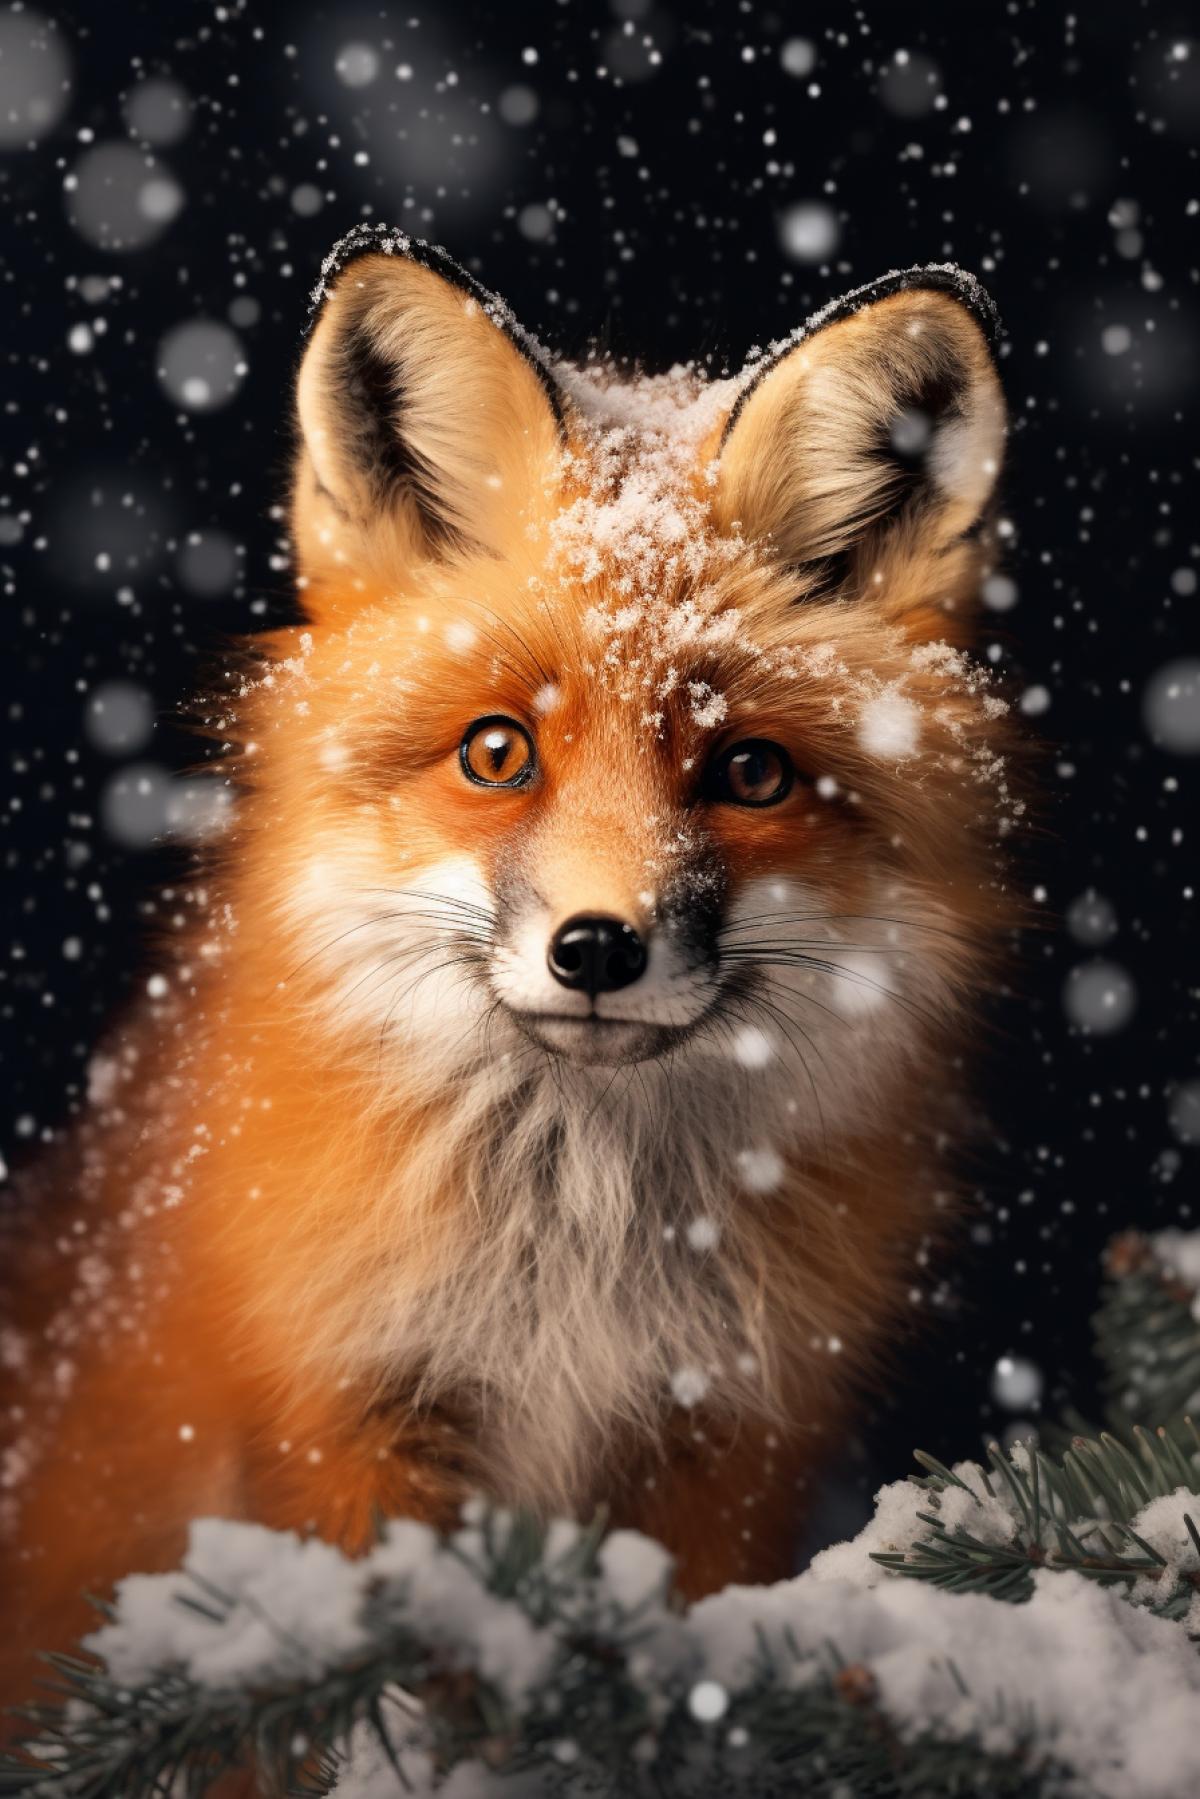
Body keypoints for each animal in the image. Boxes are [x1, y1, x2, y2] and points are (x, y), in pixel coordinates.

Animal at [0, 226, 1016, 1719]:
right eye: (497, 752)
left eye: (750, 771)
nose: (598, 947)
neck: (570, 1264)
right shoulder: (346, 1429)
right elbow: (390, 1697)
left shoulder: (717, 1445)